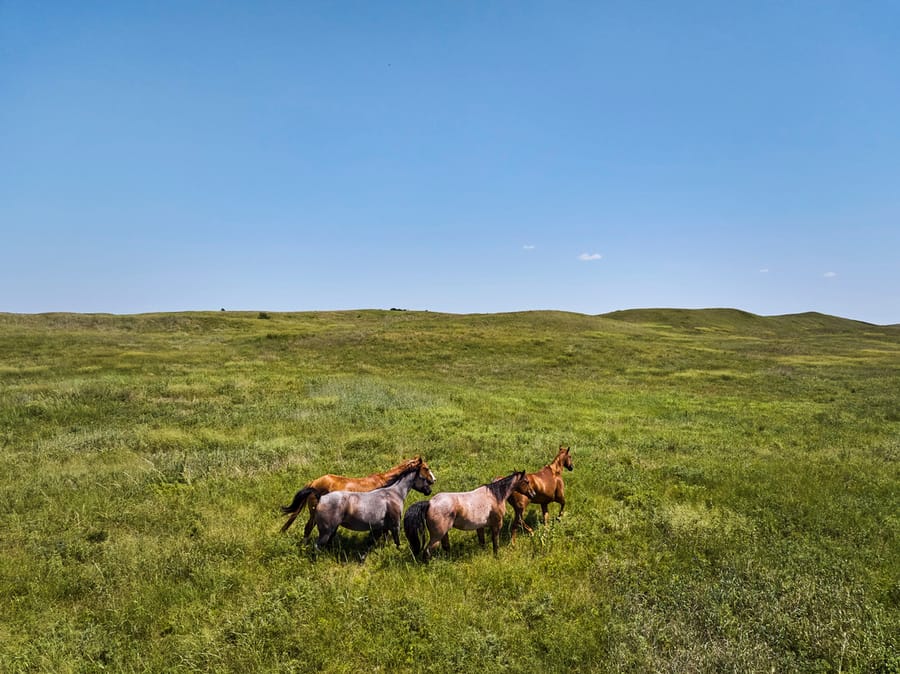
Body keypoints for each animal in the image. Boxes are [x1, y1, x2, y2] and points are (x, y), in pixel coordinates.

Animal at [402, 472, 536, 560]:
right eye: (526, 481)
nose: (533, 494)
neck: (495, 495)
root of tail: (429, 503)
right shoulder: (497, 524)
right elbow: (495, 542)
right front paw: (496, 556)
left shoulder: (480, 527)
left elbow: (482, 542)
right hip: (437, 536)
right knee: (427, 551)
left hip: (444, 534)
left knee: (445, 547)